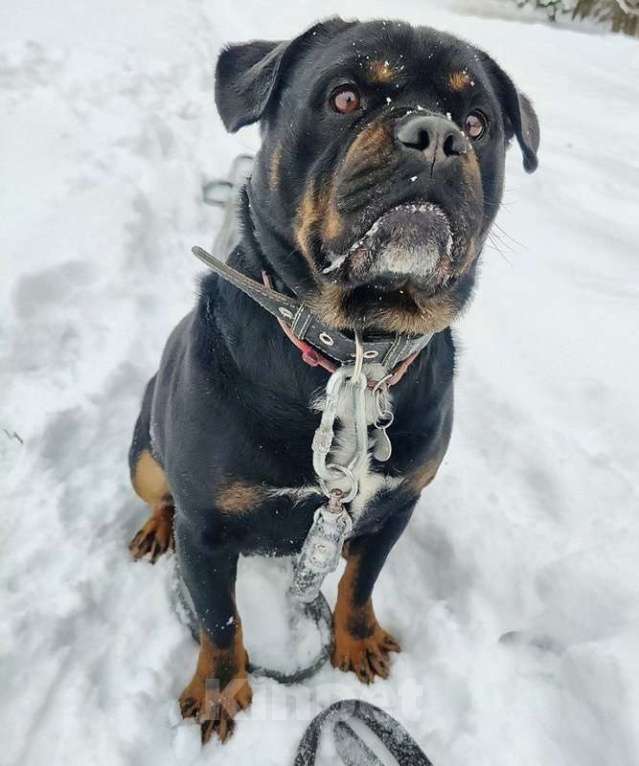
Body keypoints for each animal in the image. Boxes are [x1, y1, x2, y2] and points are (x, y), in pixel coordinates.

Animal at [129, 18, 540, 748]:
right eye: (345, 97)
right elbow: (219, 620)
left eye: (477, 120)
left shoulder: (392, 508)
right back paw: (154, 528)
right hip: (145, 459)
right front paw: (219, 689)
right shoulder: (206, 530)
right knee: (160, 495)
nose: (437, 136)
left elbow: (358, 586)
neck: (354, 351)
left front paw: (357, 641)